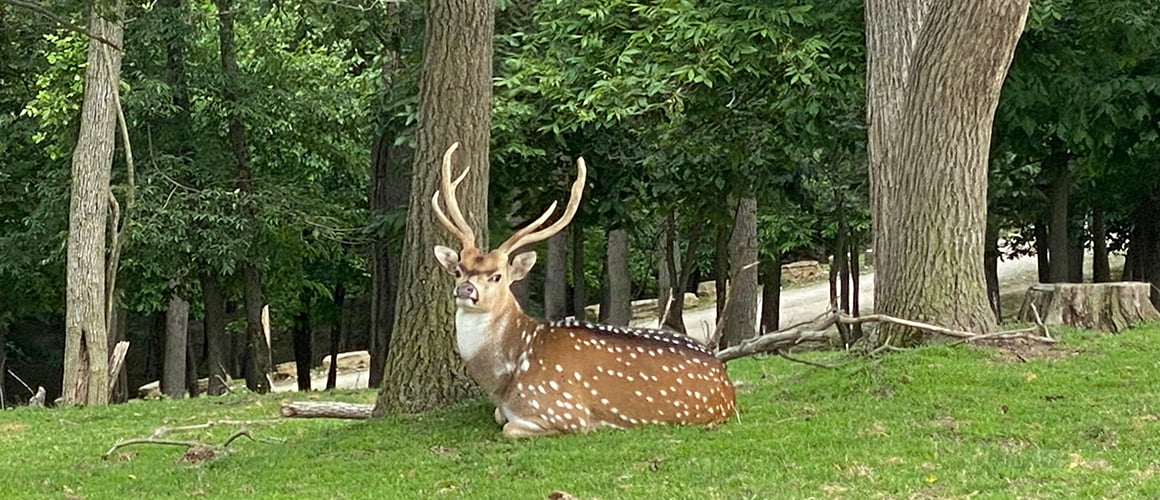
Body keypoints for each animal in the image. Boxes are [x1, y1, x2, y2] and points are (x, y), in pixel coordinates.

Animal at [431, 142, 736, 438]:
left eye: (497, 276)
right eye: (458, 269)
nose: (466, 290)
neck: (505, 380)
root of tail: (727, 386)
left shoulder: (562, 409)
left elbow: (509, 428)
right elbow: (499, 417)